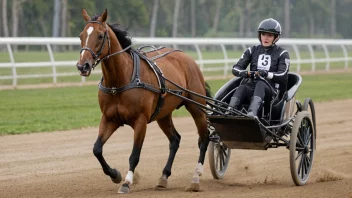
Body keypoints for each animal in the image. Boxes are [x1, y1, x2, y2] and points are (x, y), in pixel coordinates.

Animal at [76, 8, 212, 193]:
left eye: (100, 35)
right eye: (81, 35)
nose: (82, 66)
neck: (121, 80)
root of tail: (187, 58)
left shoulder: (140, 121)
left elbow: (134, 155)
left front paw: (126, 182)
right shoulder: (109, 119)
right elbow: (97, 149)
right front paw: (115, 174)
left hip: (196, 107)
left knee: (204, 138)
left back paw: (195, 178)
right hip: (163, 114)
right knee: (175, 140)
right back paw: (164, 176)